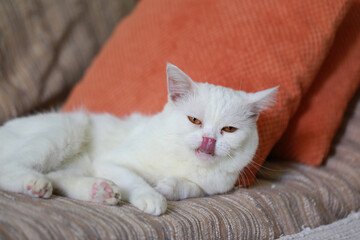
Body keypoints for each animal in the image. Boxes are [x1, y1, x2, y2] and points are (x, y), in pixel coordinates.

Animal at [0, 62, 278, 215]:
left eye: (229, 130)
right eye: (194, 120)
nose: (209, 140)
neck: (186, 162)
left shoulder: (217, 186)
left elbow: (193, 188)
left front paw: (169, 186)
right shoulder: (112, 162)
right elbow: (134, 179)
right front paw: (153, 197)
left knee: (57, 176)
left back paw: (100, 191)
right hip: (70, 127)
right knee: (10, 168)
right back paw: (34, 183)